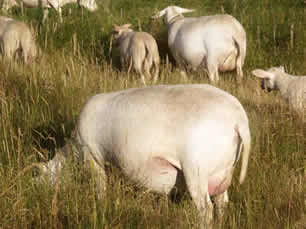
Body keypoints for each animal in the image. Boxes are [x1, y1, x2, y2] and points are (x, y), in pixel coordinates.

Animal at [40, 83, 251, 227]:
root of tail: (239, 120)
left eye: (40, 176)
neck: (71, 153)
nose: (40, 194)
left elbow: (100, 188)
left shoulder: (92, 156)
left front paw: (100, 205)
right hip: (221, 170)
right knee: (222, 203)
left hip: (196, 168)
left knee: (205, 209)